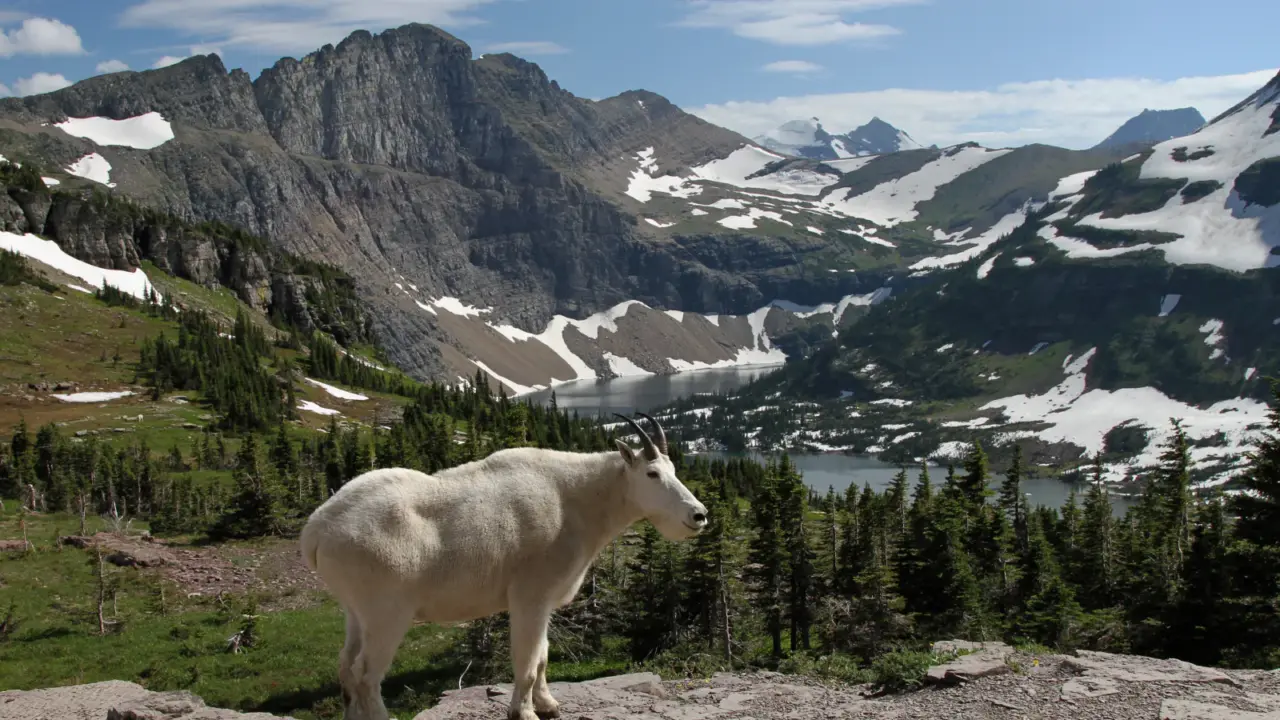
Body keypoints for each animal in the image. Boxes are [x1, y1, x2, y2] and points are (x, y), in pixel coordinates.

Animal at [300, 412, 707, 720]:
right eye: (652, 474)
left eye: (673, 469)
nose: (698, 515)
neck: (577, 501)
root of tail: (316, 530)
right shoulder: (530, 595)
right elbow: (526, 661)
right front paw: (524, 712)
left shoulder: (544, 602)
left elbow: (542, 656)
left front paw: (549, 705)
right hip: (387, 612)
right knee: (366, 675)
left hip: (356, 611)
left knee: (346, 667)